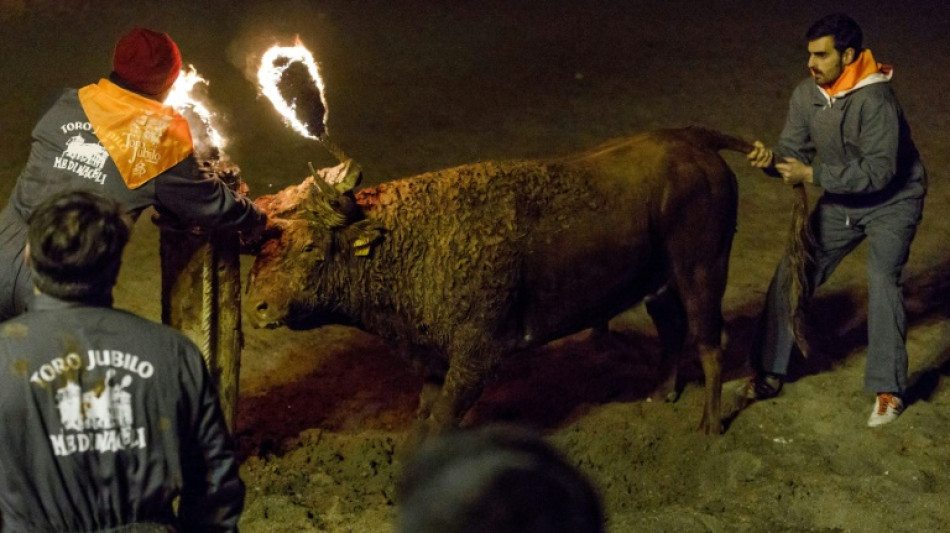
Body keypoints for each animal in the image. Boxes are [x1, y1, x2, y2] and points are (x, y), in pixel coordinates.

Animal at [249, 125, 756, 436]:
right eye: (263, 250)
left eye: (310, 246)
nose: (258, 306)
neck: (409, 239)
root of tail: (691, 139)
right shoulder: (432, 356)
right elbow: (424, 416)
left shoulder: (478, 357)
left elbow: (439, 422)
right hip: (659, 281)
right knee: (672, 329)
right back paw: (659, 394)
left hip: (702, 270)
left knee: (710, 342)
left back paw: (710, 425)